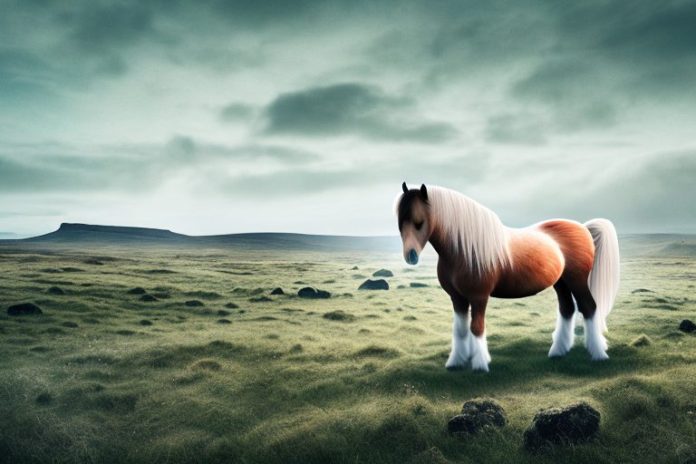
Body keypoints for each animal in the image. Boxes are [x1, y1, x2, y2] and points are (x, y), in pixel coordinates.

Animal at [396, 182, 620, 372]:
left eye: (419, 222)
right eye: (400, 222)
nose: (411, 256)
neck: (463, 249)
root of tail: (583, 227)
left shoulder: (479, 297)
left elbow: (476, 328)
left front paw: (480, 365)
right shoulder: (457, 298)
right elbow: (460, 330)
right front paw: (455, 362)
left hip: (577, 281)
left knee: (589, 307)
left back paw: (598, 354)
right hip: (561, 282)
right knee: (567, 309)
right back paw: (558, 351)